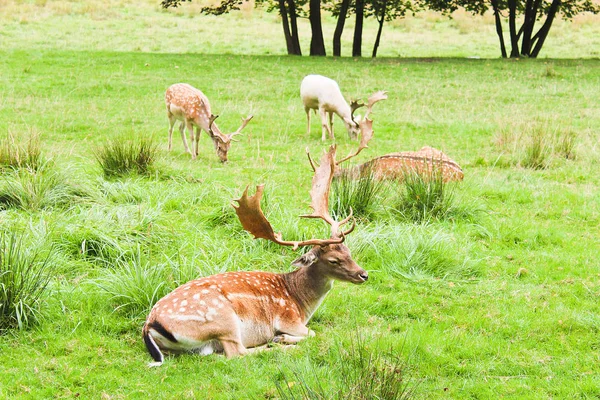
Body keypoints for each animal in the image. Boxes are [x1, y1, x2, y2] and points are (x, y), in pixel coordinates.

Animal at [142, 146, 366, 366]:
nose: (364, 274)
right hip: (223, 318)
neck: (300, 301)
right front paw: (282, 337)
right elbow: (313, 333)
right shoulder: (287, 318)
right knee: (237, 353)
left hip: (190, 347)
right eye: (334, 260)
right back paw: (276, 344)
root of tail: (149, 326)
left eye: (348, 252)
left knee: (214, 355)